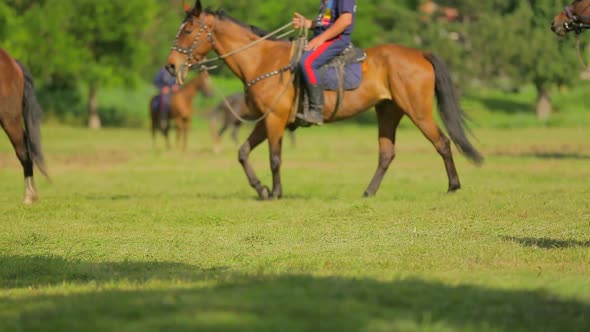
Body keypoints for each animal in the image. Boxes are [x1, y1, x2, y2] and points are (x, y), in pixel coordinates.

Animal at [165, 0, 480, 200]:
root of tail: (419, 53)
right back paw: (368, 192)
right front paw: (261, 189)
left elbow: (275, 158)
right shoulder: (266, 120)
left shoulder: (275, 120)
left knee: (442, 143)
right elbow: (243, 152)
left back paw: (453, 186)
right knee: (386, 154)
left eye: (188, 31)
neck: (262, 60)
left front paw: (275, 192)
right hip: (388, 111)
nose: (170, 66)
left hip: (418, 111)